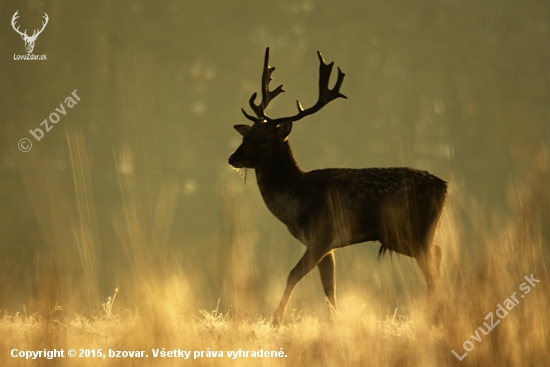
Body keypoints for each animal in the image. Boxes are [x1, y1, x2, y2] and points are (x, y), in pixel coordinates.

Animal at [229, 47, 448, 326]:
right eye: (245, 136)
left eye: (264, 139)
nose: (233, 158)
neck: (298, 200)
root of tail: (445, 188)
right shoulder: (324, 243)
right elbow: (329, 285)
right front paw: (334, 322)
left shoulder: (323, 232)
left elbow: (294, 274)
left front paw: (276, 319)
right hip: (405, 235)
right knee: (437, 253)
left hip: (412, 229)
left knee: (432, 262)